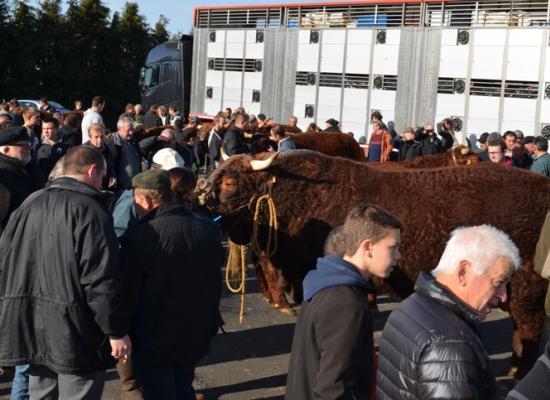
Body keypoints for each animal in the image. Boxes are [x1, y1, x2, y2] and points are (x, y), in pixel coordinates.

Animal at [203, 151, 550, 378]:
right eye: (217, 173)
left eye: (230, 182)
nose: (200, 198)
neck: (299, 193)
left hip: (526, 287)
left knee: (529, 328)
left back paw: (519, 371)